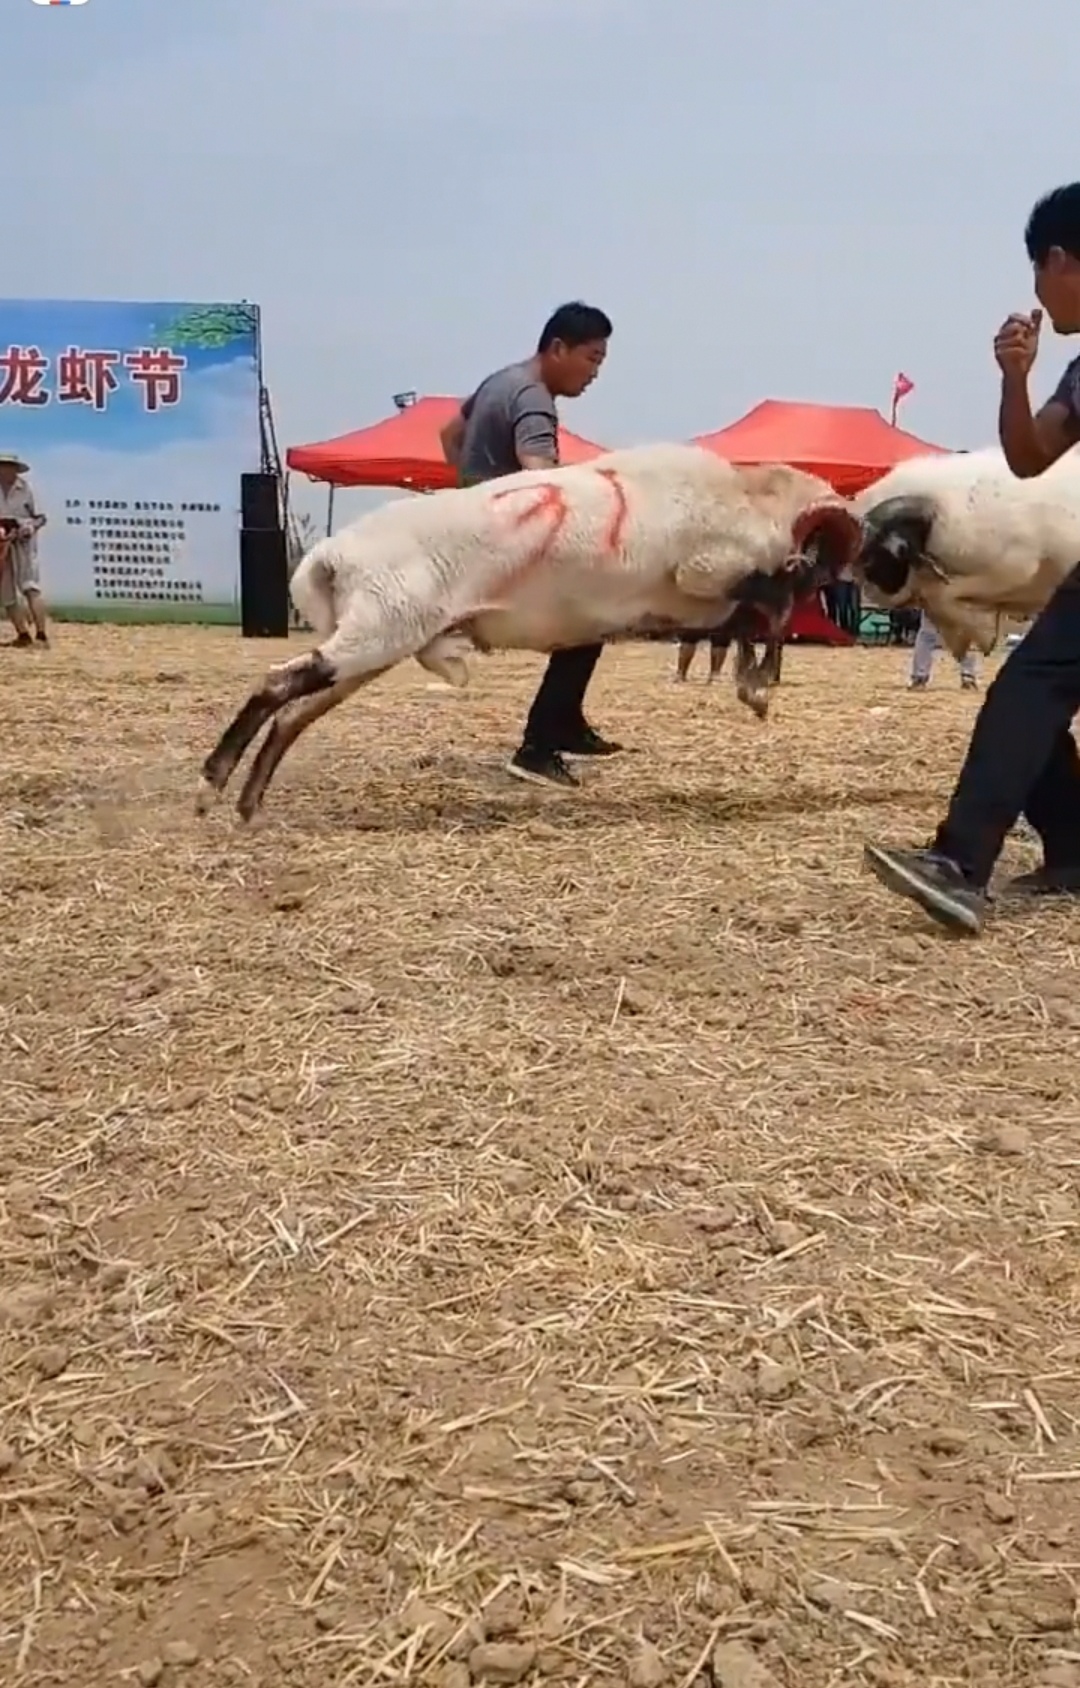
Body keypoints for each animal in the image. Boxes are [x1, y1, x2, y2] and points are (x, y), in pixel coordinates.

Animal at [195, 442, 860, 816]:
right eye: (823, 564)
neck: (748, 499)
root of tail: (330, 555)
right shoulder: (706, 570)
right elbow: (765, 604)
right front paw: (759, 687)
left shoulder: (709, 604)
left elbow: (755, 620)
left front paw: (756, 688)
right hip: (377, 632)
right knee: (276, 685)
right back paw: (212, 785)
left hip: (374, 643)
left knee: (292, 712)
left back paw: (249, 805)